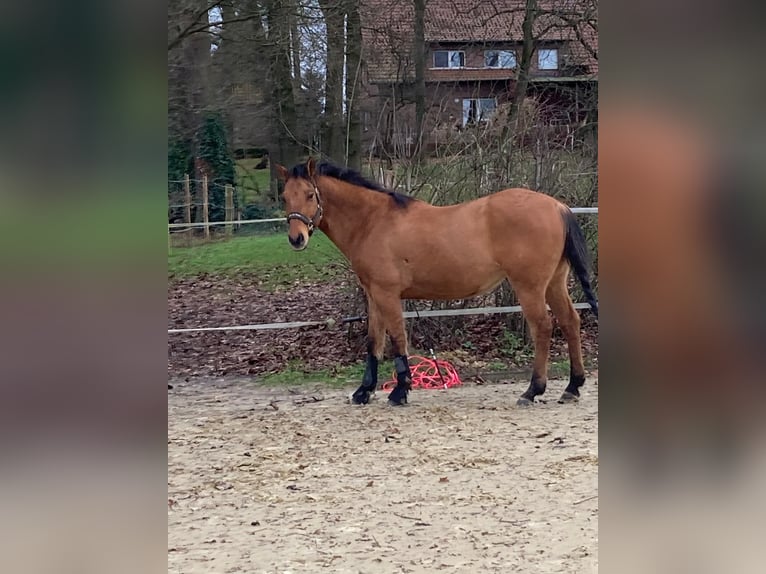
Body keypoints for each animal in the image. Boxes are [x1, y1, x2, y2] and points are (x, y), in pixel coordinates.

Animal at [276, 158, 598, 406]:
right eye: (285, 196)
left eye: (310, 194)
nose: (296, 239)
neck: (373, 221)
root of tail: (557, 206)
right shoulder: (373, 295)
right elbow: (373, 341)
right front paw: (364, 391)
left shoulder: (388, 294)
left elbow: (397, 339)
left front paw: (400, 391)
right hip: (554, 283)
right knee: (570, 322)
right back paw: (572, 387)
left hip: (529, 286)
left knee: (542, 327)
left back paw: (532, 391)